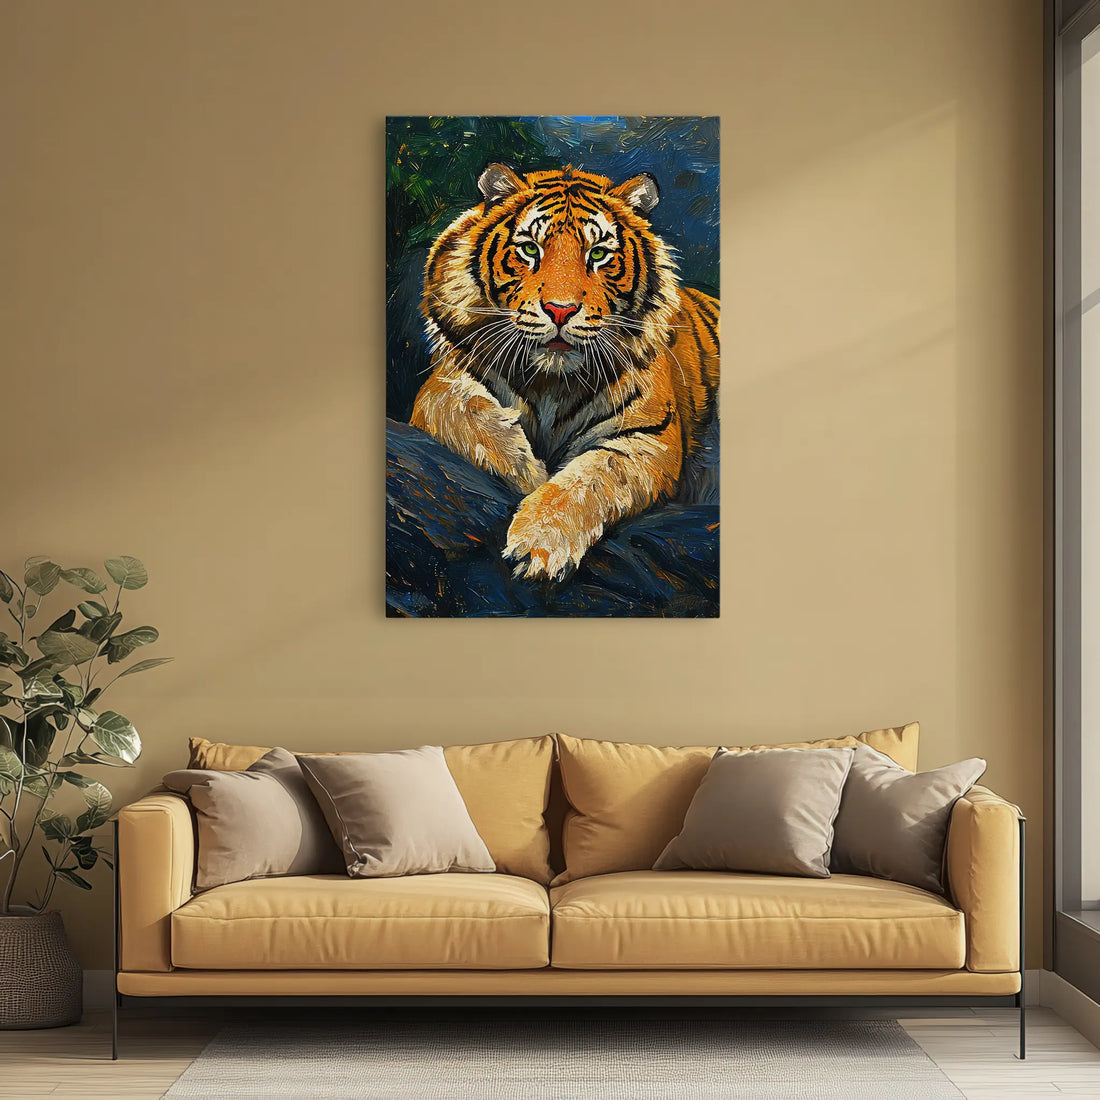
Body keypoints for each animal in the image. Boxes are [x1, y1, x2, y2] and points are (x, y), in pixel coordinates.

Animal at [410, 162, 719, 581]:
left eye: (599, 254)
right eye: (530, 249)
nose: (560, 310)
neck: (550, 383)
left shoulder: (649, 436)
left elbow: (592, 476)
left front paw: (539, 541)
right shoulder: (440, 384)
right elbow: (462, 410)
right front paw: (525, 469)